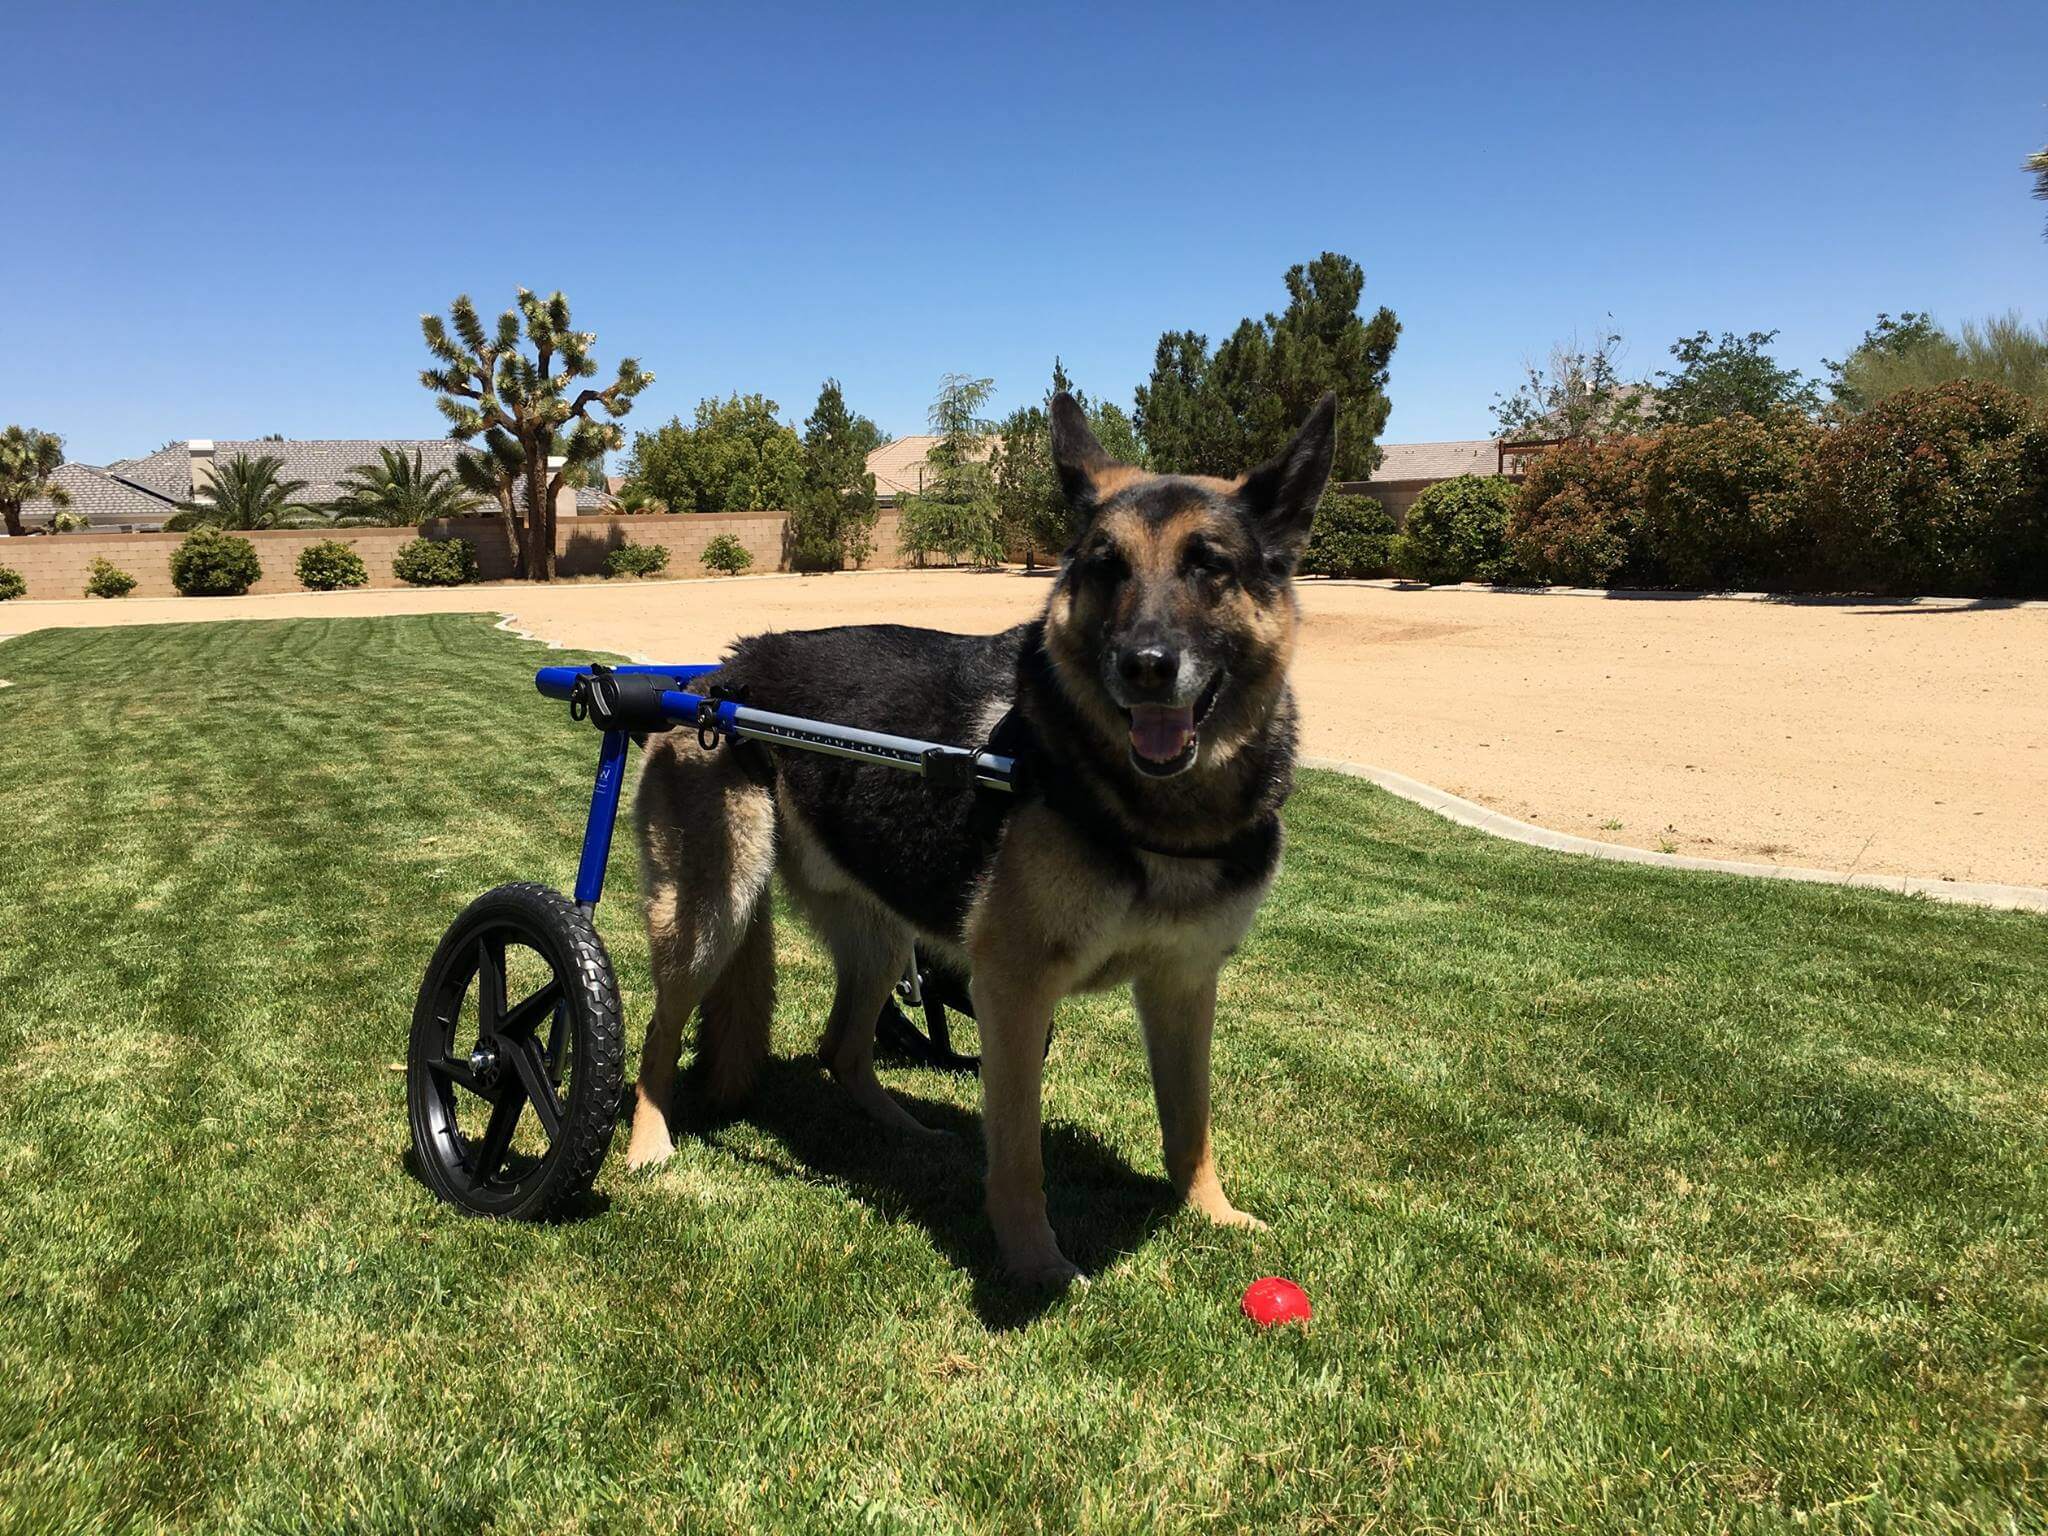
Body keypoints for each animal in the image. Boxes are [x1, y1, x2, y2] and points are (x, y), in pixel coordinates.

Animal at [630, 391, 1335, 1277]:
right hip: (710, 915)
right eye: (1107, 567)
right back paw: (646, 1146)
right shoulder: (1015, 993)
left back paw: (903, 1132)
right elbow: (1020, 1152)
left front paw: (1210, 1212)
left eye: (1209, 565)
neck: (1152, 809)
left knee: (841, 1048)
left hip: (882, 943)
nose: (1144, 667)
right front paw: (1035, 1266)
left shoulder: (1183, 985)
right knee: (657, 1036)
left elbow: (1190, 1123)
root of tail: (722, 672)